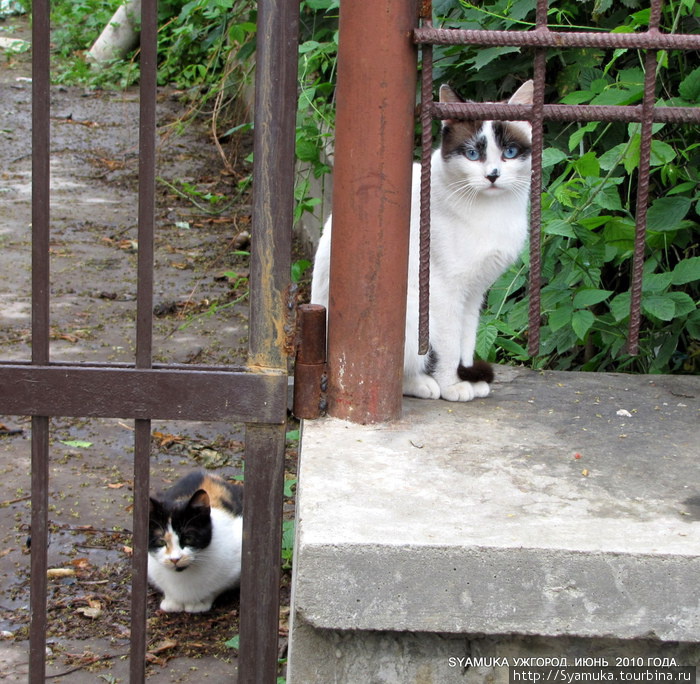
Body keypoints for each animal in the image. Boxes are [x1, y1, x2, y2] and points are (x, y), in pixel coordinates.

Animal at [148, 472, 243, 612]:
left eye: (188, 538)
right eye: (161, 541)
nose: (174, 559)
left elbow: (217, 588)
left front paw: (200, 603)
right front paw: (172, 601)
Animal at [308, 79, 532, 400]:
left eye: (510, 152)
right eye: (472, 154)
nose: (493, 175)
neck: (493, 212)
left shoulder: (473, 293)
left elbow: (466, 342)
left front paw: (467, 376)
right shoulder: (444, 291)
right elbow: (449, 346)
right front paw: (452, 386)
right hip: (411, 314)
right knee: (386, 372)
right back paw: (425, 385)